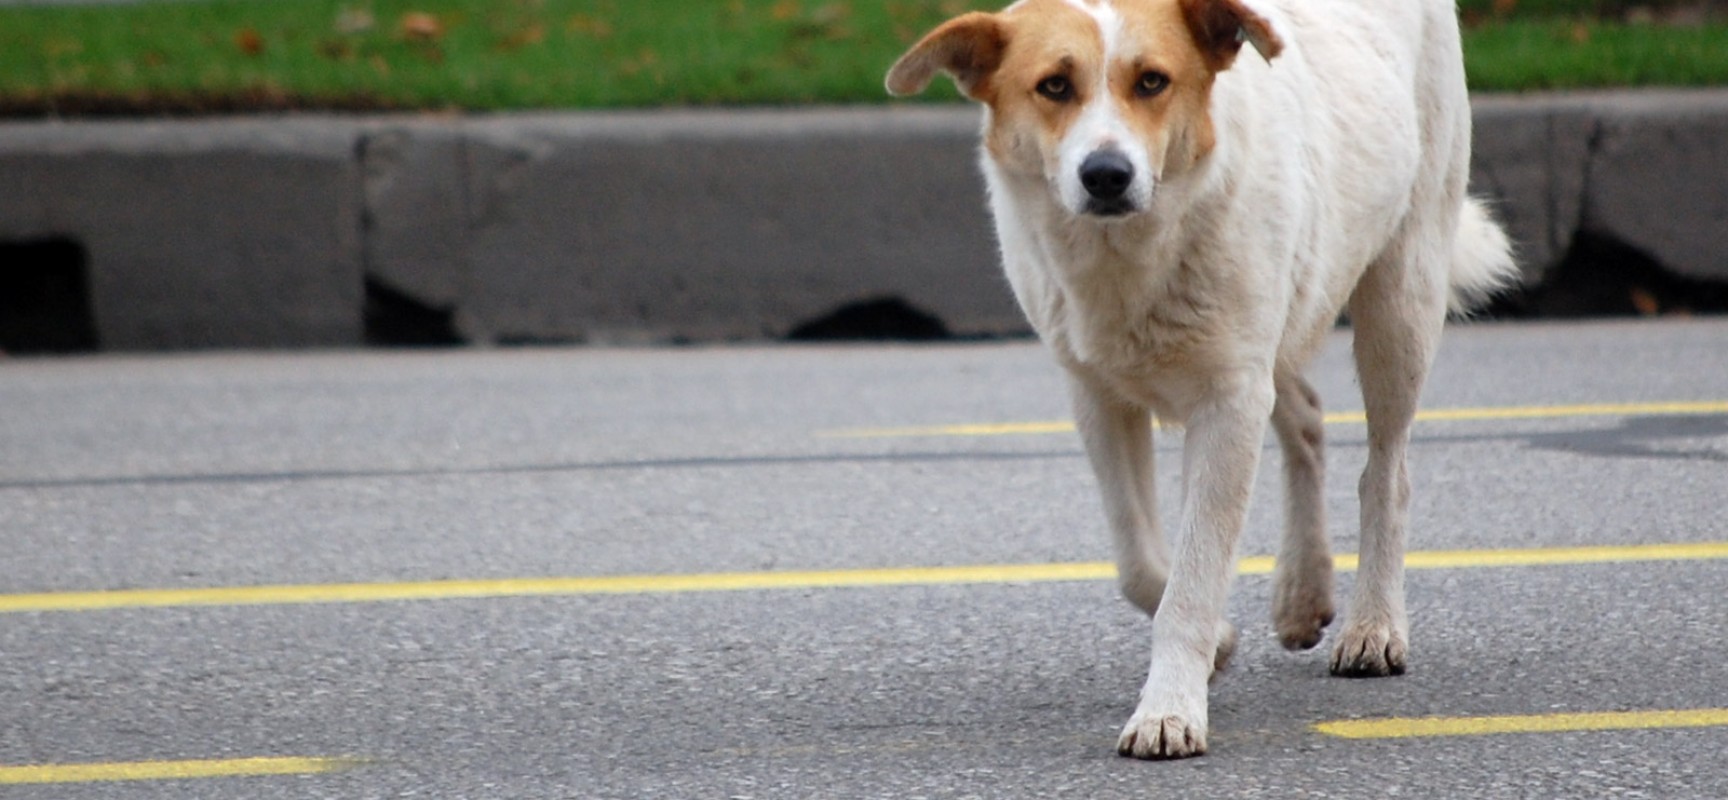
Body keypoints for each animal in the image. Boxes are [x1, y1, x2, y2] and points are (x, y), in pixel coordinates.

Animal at [891, 0, 1513, 760]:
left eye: (1153, 81)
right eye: (1054, 86)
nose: (1107, 174)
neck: (1131, 258)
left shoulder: (1228, 401)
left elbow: (1191, 577)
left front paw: (1170, 709)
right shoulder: (1098, 396)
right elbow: (1140, 564)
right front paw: (1217, 642)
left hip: (1402, 293)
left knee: (1386, 470)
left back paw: (1373, 626)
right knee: (1306, 417)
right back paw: (1303, 592)